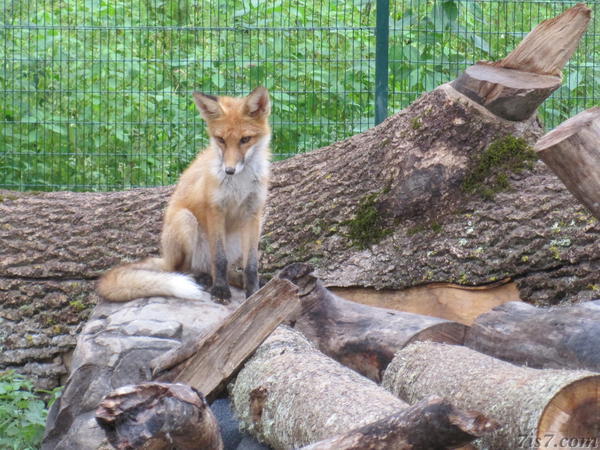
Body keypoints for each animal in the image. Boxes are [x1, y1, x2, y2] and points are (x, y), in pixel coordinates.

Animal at [98, 87, 272, 302]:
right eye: (221, 140)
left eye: (245, 140)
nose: (229, 170)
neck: (239, 184)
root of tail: (165, 257)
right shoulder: (215, 209)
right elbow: (220, 259)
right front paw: (220, 290)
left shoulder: (253, 212)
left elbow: (251, 266)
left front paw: (254, 292)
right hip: (185, 221)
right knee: (182, 269)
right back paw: (200, 279)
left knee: (216, 268)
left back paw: (233, 279)